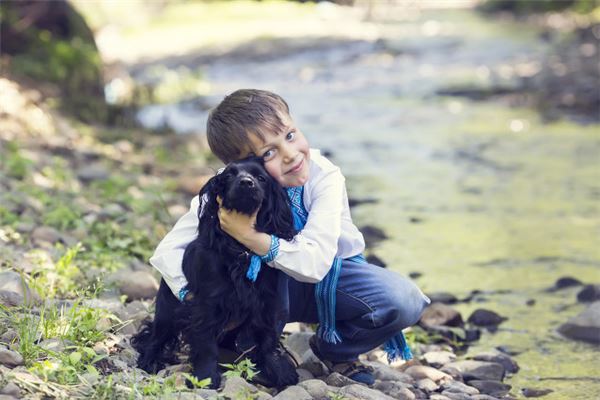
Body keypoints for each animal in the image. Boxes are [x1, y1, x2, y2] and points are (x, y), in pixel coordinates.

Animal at [132, 156, 300, 388]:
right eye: (229, 175)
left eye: (261, 178)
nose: (246, 183)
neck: (241, 249)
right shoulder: (208, 304)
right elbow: (206, 344)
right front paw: (206, 377)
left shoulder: (267, 302)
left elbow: (267, 340)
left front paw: (277, 370)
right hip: (168, 310)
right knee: (156, 336)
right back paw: (150, 360)